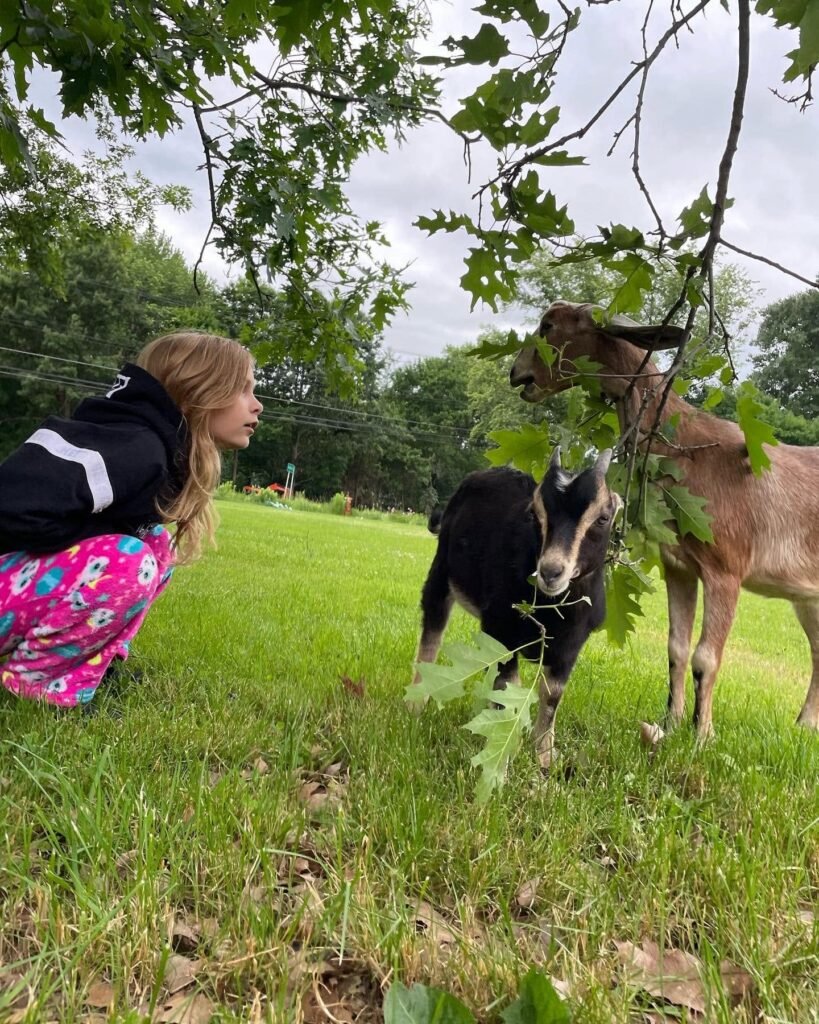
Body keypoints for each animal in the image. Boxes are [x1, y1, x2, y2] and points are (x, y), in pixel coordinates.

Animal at [414, 447, 620, 768]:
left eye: (603, 517)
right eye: (534, 513)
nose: (551, 572)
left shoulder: (570, 646)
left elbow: (551, 695)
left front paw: (545, 758)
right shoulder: (501, 630)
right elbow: (508, 685)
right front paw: (504, 758)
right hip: (442, 570)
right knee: (432, 627)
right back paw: (415, 705)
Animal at [509, 300, 819, 738]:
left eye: (548, 325)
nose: (517, 373)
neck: (687, 453)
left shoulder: (727, 566)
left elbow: (706, 656)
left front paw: (702, 735)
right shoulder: (680, 565)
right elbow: (677, 646)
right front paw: (671, 723)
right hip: (807, 597)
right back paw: (805, 725)